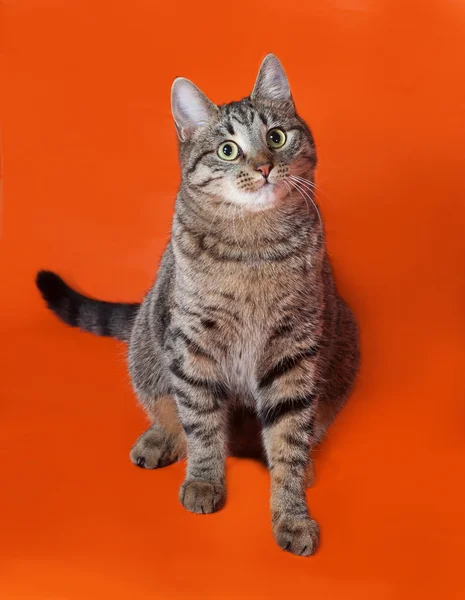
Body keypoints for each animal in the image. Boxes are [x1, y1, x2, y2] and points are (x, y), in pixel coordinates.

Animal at [38, 54, 360, 556]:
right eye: (228, 150)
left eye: (276, 137)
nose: (265, 167)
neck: (253, 246)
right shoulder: (192, 343)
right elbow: (201, 422)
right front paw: (206, 481)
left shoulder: (293, 349)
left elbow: (288, 438)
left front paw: (291, 514)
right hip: (146, 346)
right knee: (166, 409)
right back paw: (159, 441)